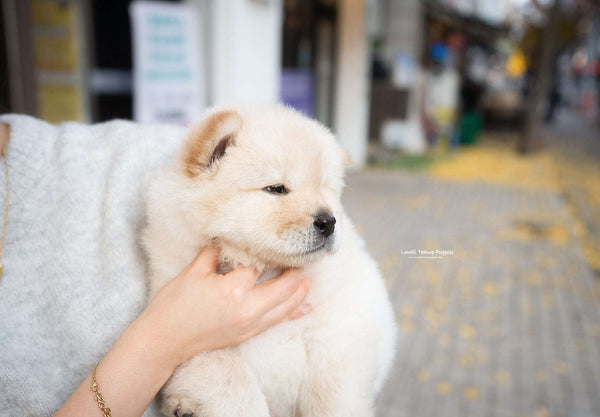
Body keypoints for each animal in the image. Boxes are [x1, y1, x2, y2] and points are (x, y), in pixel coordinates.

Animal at [144, 105, 398, 416]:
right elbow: (230, 377)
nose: (328, 221)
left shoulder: (344, 325)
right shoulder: (190, 330)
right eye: (276, 188)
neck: (264, 271)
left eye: (324, 188)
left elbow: (331, 391)